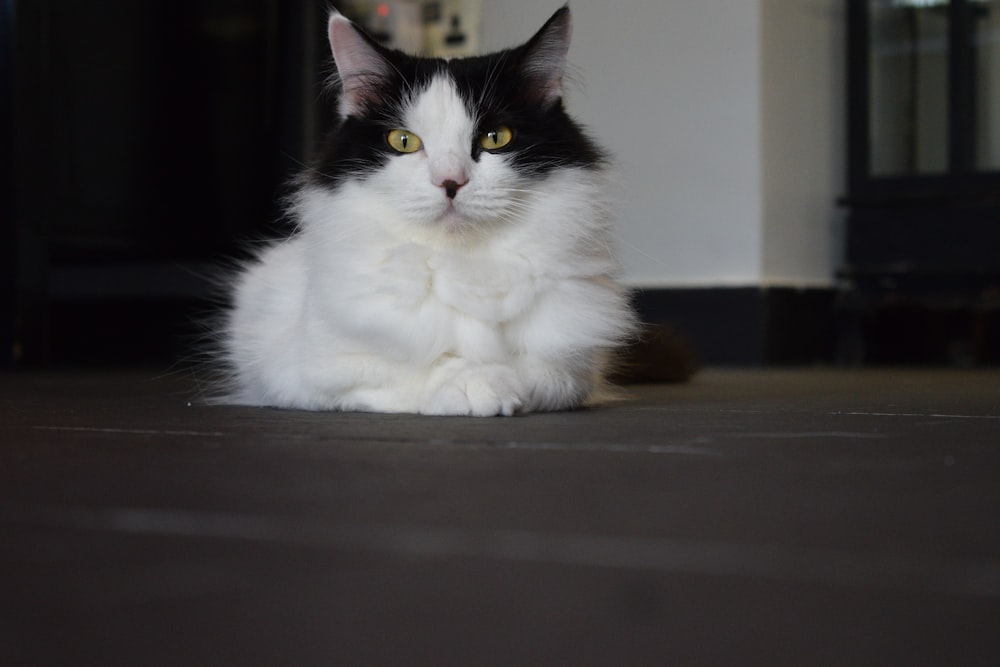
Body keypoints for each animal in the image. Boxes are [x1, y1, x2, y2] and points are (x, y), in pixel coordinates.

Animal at [219, 6, 636, 418]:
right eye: (403, 141)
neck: (462, 264)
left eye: (495, 138)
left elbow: (546, 373)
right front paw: (477, 385)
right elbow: (421, 365)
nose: (450, 182)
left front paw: (509, 384)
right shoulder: (316, 369)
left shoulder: (580, 362)